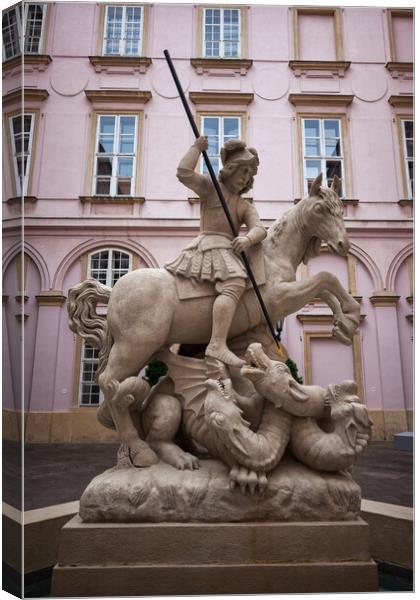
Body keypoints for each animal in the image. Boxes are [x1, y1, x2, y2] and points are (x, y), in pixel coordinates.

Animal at [68, 172, 358, 464]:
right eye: (320, 209)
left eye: (339, 209)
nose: (343, 245)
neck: (272, 259)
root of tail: (114, 289)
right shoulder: (280, 297)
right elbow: (326, 279)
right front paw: (351, 316)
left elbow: (325, 287)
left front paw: (344, 324)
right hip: (134, 347)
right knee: (109, 384)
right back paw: (142, 450)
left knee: (118, 389)